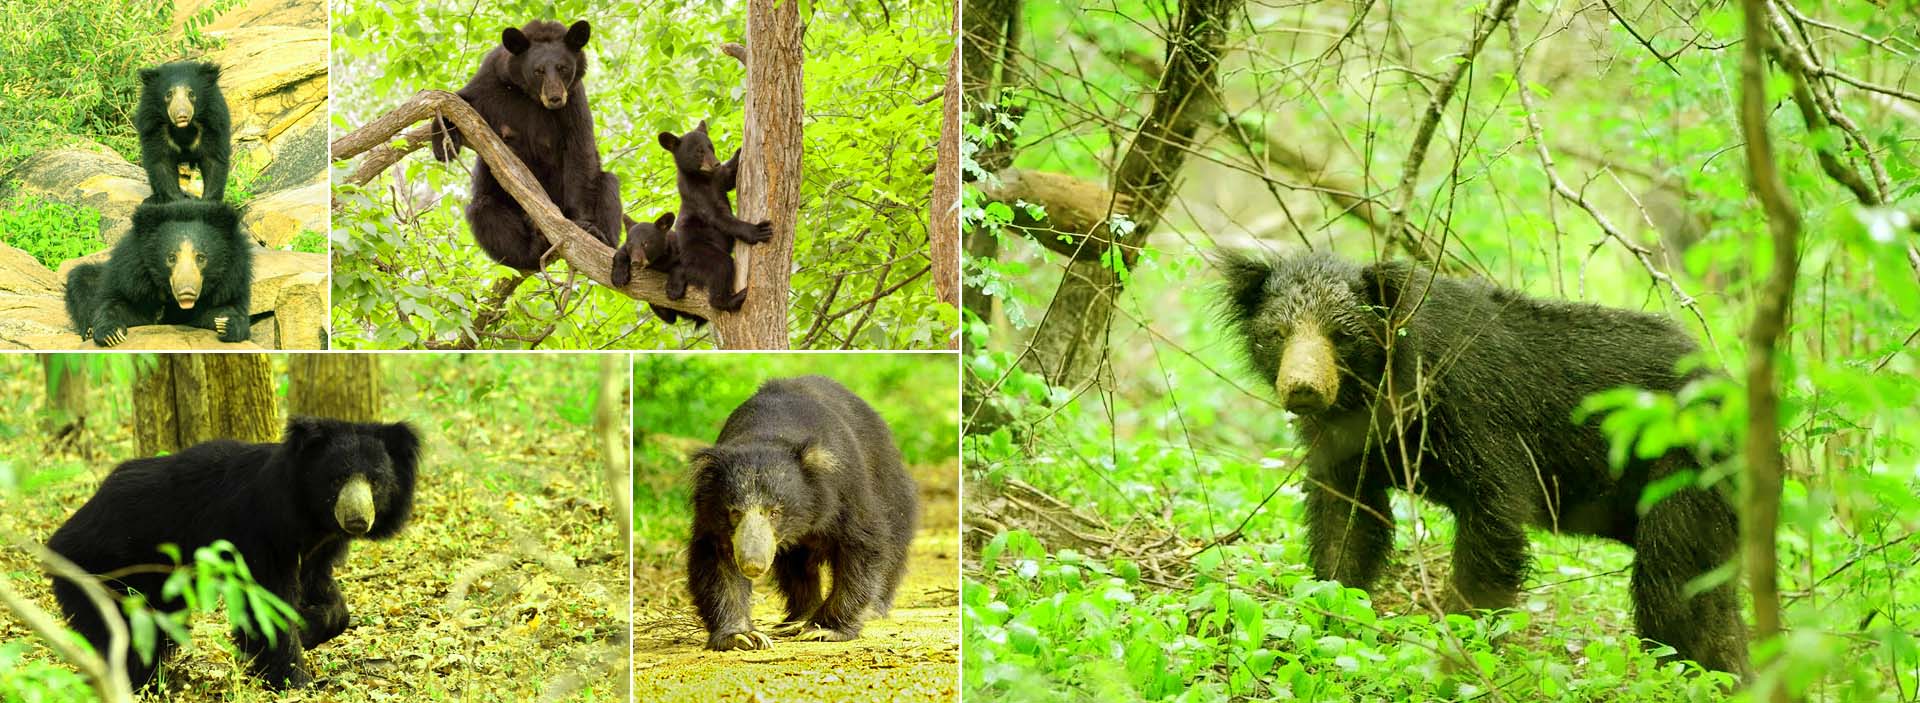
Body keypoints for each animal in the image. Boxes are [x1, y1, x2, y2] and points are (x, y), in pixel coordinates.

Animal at [46, 414, 420, 687]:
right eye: (337, 479)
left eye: (376, 481)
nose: (357, 520)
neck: (309, 518)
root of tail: (58, 540)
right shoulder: (257, 535)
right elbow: (266, 604)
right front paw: (296, 681)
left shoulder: (318, 547)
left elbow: (324, 593)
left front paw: (310, 628)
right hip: (108, 571)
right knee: (128, 634)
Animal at [64, 197, 253, 345]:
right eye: (171, 258)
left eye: (201, 257)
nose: (187, 292)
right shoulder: (132, 275)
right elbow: (119, 305)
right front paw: (111, 333)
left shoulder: (231, 278)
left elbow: (221, 309)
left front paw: (227, 324)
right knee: (82, 278)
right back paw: (88, 330)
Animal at [135, 61, 230, 203]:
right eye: (169, 94)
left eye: (191, 94)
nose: (182, 115)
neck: (183, 129)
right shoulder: (153, 126)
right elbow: (161, 162)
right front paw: (176, 200)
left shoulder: (213, 122)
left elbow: (213, 160)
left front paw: (208, 201)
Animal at [687, 376, 917, 649]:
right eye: (734, 512)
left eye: (774, 512)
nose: (752, 564)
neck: (769, 434)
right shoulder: (711, 516)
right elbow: (716, 560)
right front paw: (742, 636)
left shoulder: (843, 490)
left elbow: (862, 544)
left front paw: (824, 630)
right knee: (796, 568)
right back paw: (798, 618)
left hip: (887, 479)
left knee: (895, 536)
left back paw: (872, 609)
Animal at [1221, 251, 1751, 676]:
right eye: (1276, 334)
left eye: (1342, 336)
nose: (1304, 389)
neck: (1378, 396)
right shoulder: (1343, 444)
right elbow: (1346, 523)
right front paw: (1327, 611)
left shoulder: (1475, 412)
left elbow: (1493, 517)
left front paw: (1459, 640)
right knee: (1716, 604)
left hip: (1683, 476)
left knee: (1672, 586)